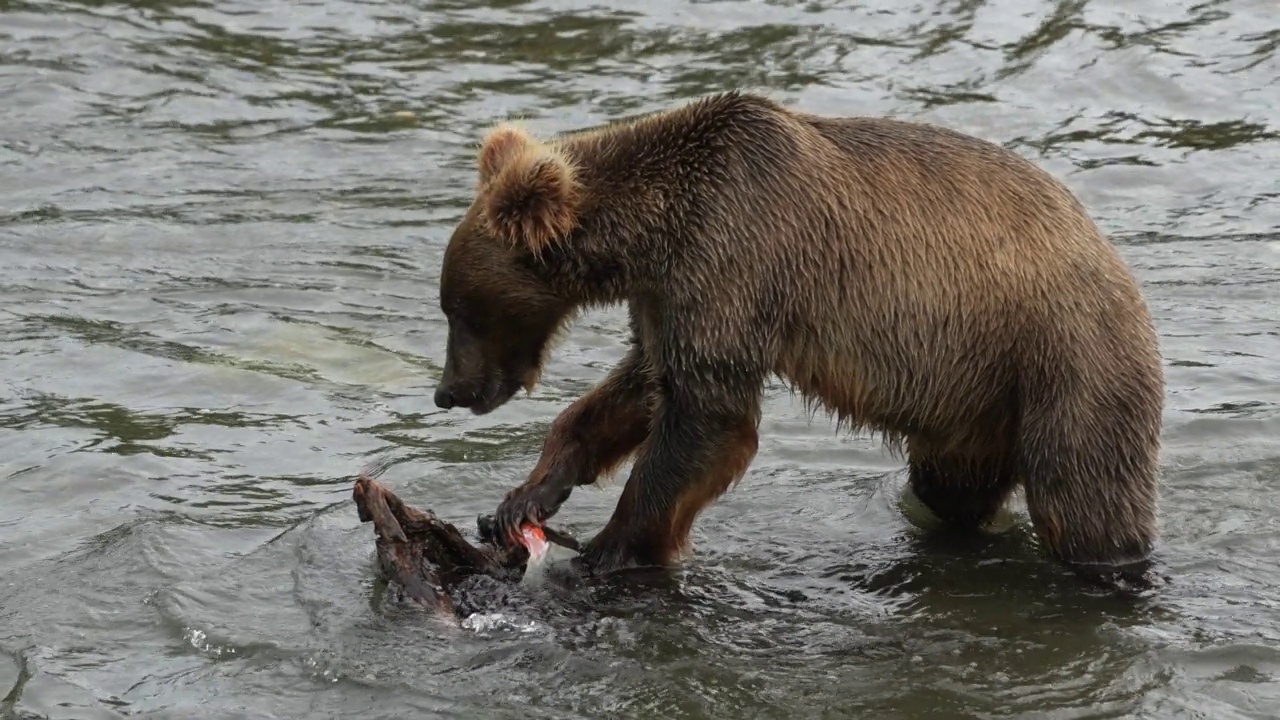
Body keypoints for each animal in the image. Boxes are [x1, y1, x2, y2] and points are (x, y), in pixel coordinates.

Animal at [427, 89, 1162, 584]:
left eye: (461, 310)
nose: (448, 391)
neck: (653, 234)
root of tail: (1119, 266)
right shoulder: (668, 296)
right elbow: (640, 386)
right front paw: (525, 496)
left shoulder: (734, 258)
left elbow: (707, 420)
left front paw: (607, 547)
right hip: (974, 398)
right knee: (950, 488)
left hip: (1065, 360)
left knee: (1083, 499)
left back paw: (1110, 569)